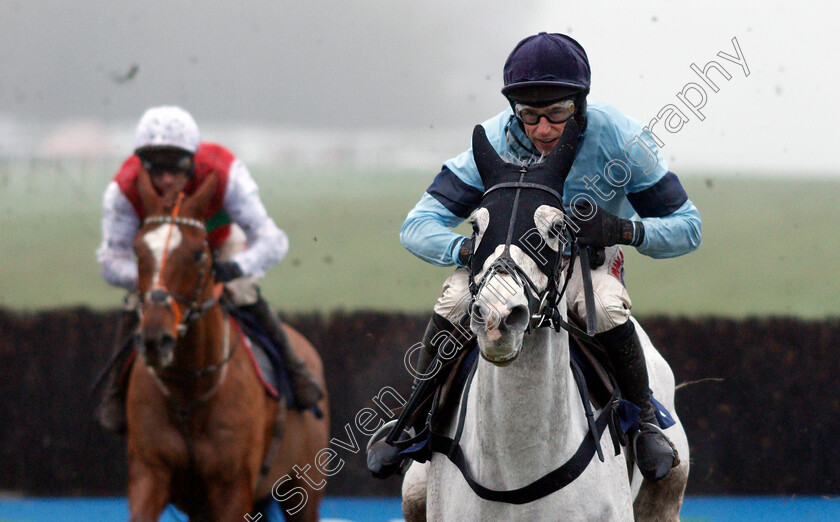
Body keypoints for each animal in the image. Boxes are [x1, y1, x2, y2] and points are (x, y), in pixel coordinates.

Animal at [126, 170, 330, 516]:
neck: (190, 392)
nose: (155, 339)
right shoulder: (149, 471)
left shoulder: (233, 486)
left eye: (198, 254)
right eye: (138, 251)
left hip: (303, 487)